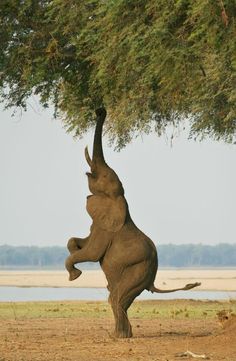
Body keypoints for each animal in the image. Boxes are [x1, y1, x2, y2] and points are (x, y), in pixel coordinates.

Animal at [65, 107, 201, 338]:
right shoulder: (100, 223)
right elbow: (79, 242)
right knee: (118, 297)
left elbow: (92, 253)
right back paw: (123, 335)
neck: (120, 199)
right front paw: (74, 252)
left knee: (117, 297)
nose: (100, 110)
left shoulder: (107, 229)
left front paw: (75, 276)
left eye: (102, 177)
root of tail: (153, 278)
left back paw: (118, 337)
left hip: (138, 270)